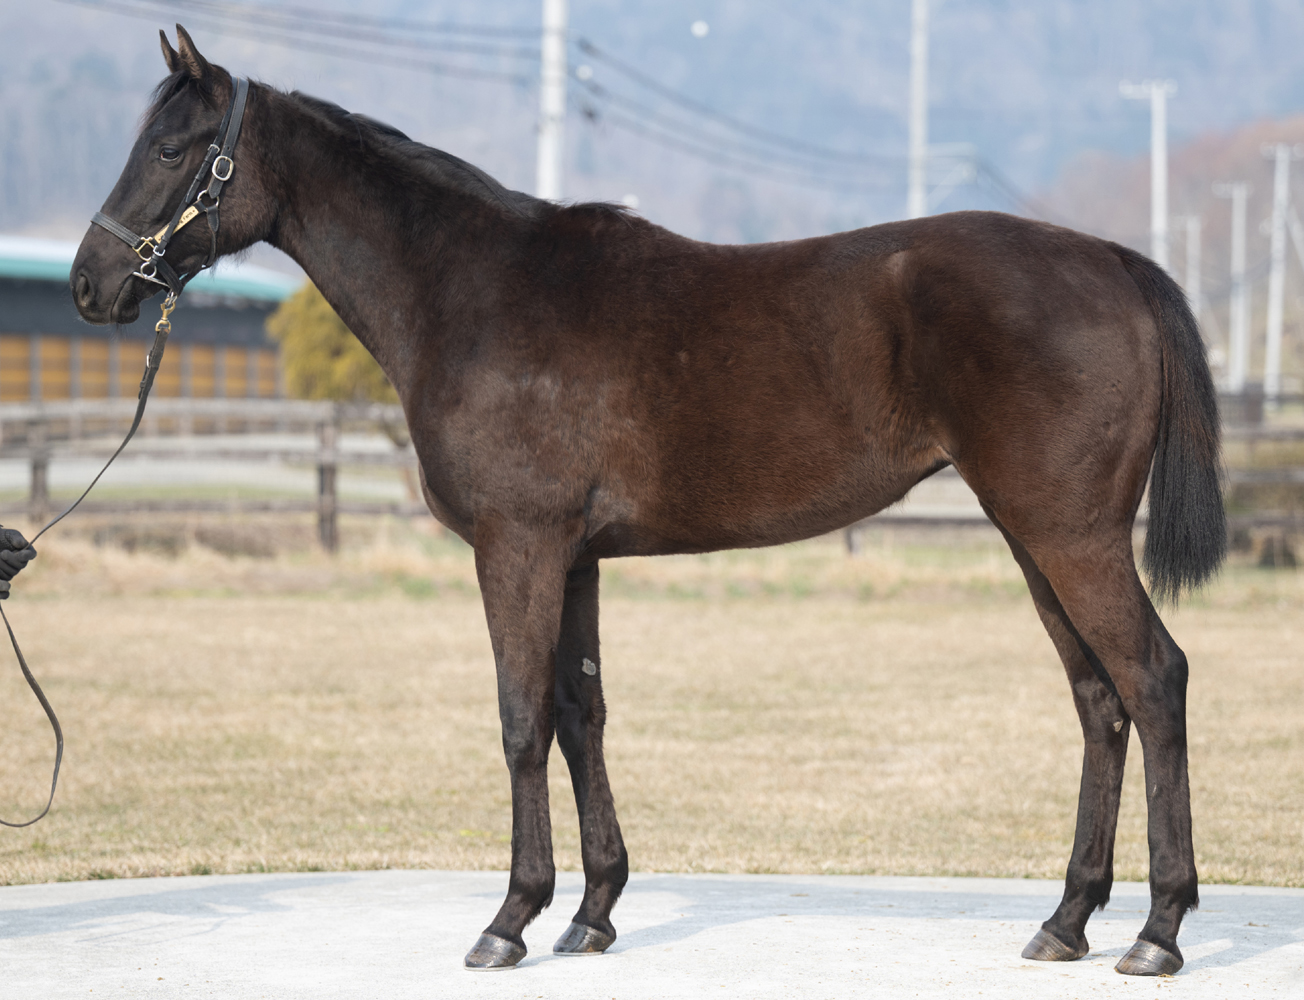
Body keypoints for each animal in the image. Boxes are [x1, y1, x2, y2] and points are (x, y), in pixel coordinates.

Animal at [71, 27, 1224, 976]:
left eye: (171, 150)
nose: (90, 285)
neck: (474, 290)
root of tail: (1112, 262)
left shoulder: (517, 546)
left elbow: (521, 719)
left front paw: (509, 919)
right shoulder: (574, 557)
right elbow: (582, 716)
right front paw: (591, 913)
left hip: (1069, 536)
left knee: (1154, 678)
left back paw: (1158, 931)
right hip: (1034, 538)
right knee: (1098, 700)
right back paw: (1066, 921)